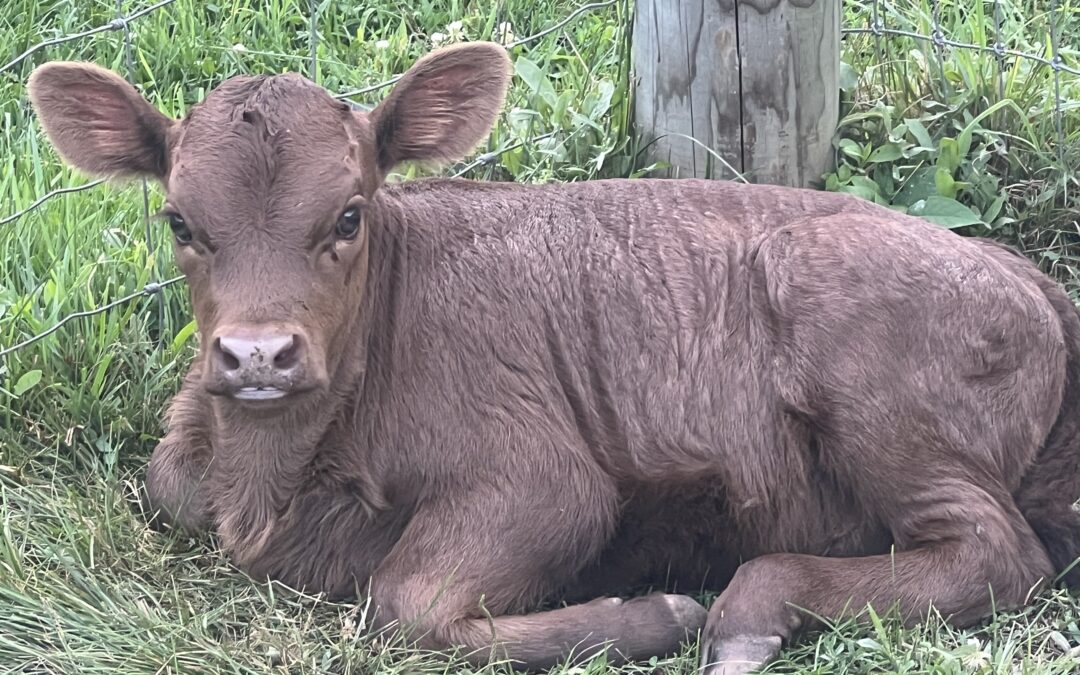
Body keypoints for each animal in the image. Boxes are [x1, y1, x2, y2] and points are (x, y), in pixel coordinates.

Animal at [27, 41, 1080, 675]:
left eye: (350, 214)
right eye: (180, 222)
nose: (257, 357)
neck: (269, 485)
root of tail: (1023, 274)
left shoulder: (542, 475)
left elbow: (406, 600)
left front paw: (654, 612)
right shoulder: (184, 462)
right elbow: (165, 481)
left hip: (874, 384)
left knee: (998, 552)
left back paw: (745, 609)